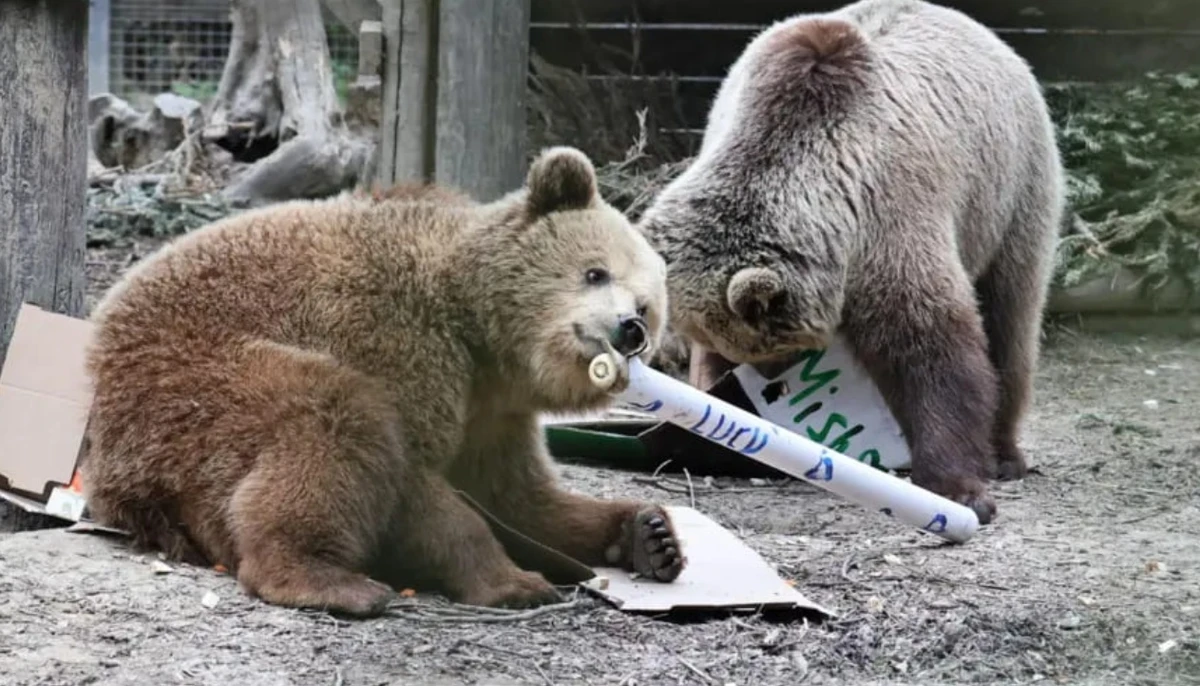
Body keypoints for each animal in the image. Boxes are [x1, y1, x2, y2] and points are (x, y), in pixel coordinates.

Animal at [80, 146, 686, 617]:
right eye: (594, 271)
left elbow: (519, 496)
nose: (628, 329)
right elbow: (419, 482)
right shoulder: (394, 337)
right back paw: (330, 580)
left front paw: (649, 534)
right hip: (191, 381)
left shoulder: (493, 413)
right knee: (333, 421)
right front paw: (515, 582)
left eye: (647, 307)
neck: (480, 337)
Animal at [634, 0, 1065, 524]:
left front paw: (959, 489)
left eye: (766, 348)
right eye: (727, 348)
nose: (766, 386)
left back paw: (1005, 454)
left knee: (1011, 316)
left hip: (1012, 191)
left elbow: (932, 352)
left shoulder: (889, 218)